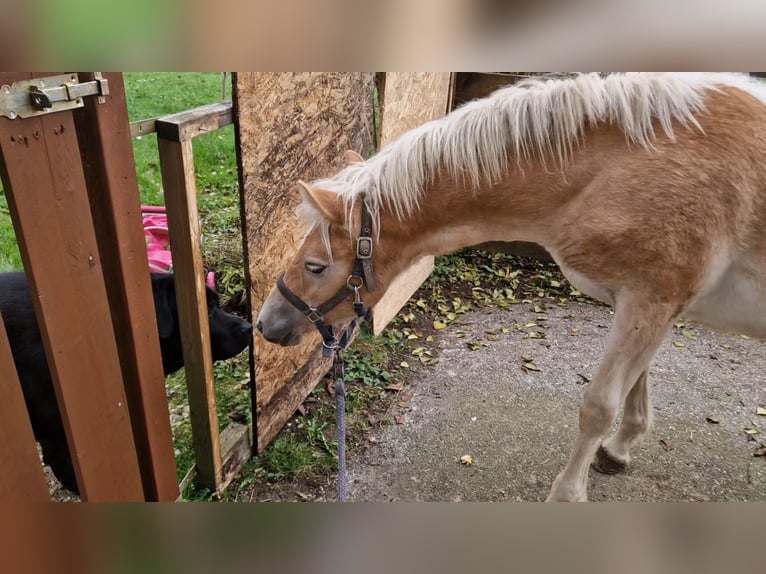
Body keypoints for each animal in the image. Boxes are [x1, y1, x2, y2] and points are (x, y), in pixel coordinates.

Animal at [256, 74, 766, 502]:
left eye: (315, 266)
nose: (265, 324)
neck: (623, 168)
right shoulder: (647, 304)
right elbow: (638, 382)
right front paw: (620, 449)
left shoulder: (650, 299)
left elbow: (599, 405)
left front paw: (567, 495)